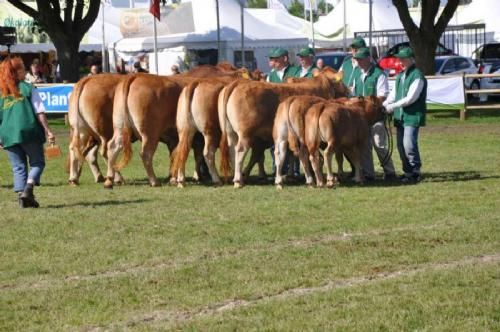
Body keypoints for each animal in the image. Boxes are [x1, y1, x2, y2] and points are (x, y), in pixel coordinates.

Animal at [219, 67, 348, 187]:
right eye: (342, 83)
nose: (348, 92)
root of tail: (237, 83)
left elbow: (291, 154)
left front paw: (290, 176)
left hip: (231, 132)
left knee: (232, 149)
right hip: (245, 133)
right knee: (240, 150)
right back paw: (238, 180)